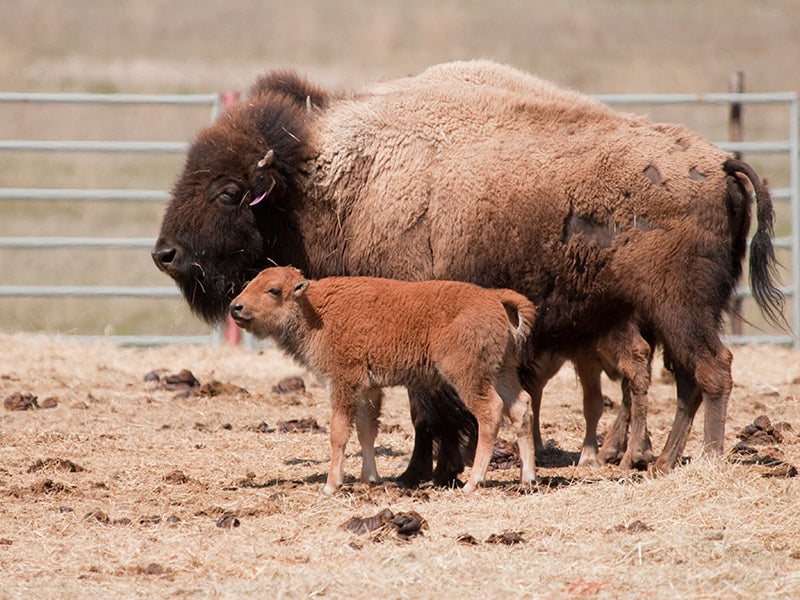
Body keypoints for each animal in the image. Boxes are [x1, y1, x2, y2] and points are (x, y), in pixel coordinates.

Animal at [228, 268, 536, 496]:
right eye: (250, 282)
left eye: (273, 290)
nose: (235, 307)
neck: (317, 310)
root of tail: (494, 298)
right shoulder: (369, 389)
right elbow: (366, 430)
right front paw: (370, 478)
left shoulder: (343, 384)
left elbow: (339, 432)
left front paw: (331, 485)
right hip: (502, 372)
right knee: (520, 408)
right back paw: (528, 479)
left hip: (469, 377)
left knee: (490, 412)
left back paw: (473, 482)